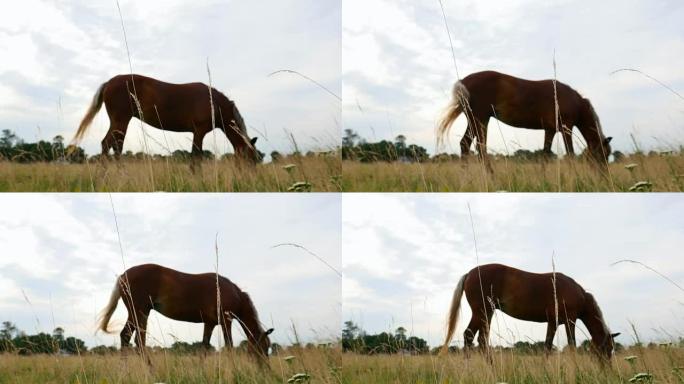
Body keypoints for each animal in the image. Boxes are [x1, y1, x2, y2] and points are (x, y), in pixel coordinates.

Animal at [71, 75, 260, 164]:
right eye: (251, 159)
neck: (214, 102)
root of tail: (109, 82)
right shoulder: (199, 132)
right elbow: (195, 158)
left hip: (119, 122)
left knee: (111, 145)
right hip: (120, 121)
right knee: (112, 145)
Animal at [98, 264, 272, 360]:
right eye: (262, 348)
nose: (265, 370)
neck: (232, 292)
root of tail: (122, 276)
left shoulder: (209, 324)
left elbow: (204, 347)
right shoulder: (225, 321)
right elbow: (229, 345)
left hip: (139, 314)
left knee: (130, 338)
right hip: (139, 312)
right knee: (133, 339)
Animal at [438, 71, 616, 167]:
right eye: (604, 154)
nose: (604, 177)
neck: (574, 101)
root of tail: (463, 81)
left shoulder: (550, 130)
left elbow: (545, 155)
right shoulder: (567, 130)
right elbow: (570, 154)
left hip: (475, 121)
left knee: (465, 144)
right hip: (481, 120)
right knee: (480, 149)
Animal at [440, 264, 624, 360]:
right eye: (608, 348)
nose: (607, 369)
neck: (578, 294)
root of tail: (469, 273)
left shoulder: (554, 322)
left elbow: (547, 346)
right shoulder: (569, 321)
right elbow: (571, 344)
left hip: (486, 313)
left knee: (476, 338)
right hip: (482, 312)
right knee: (473, 337)